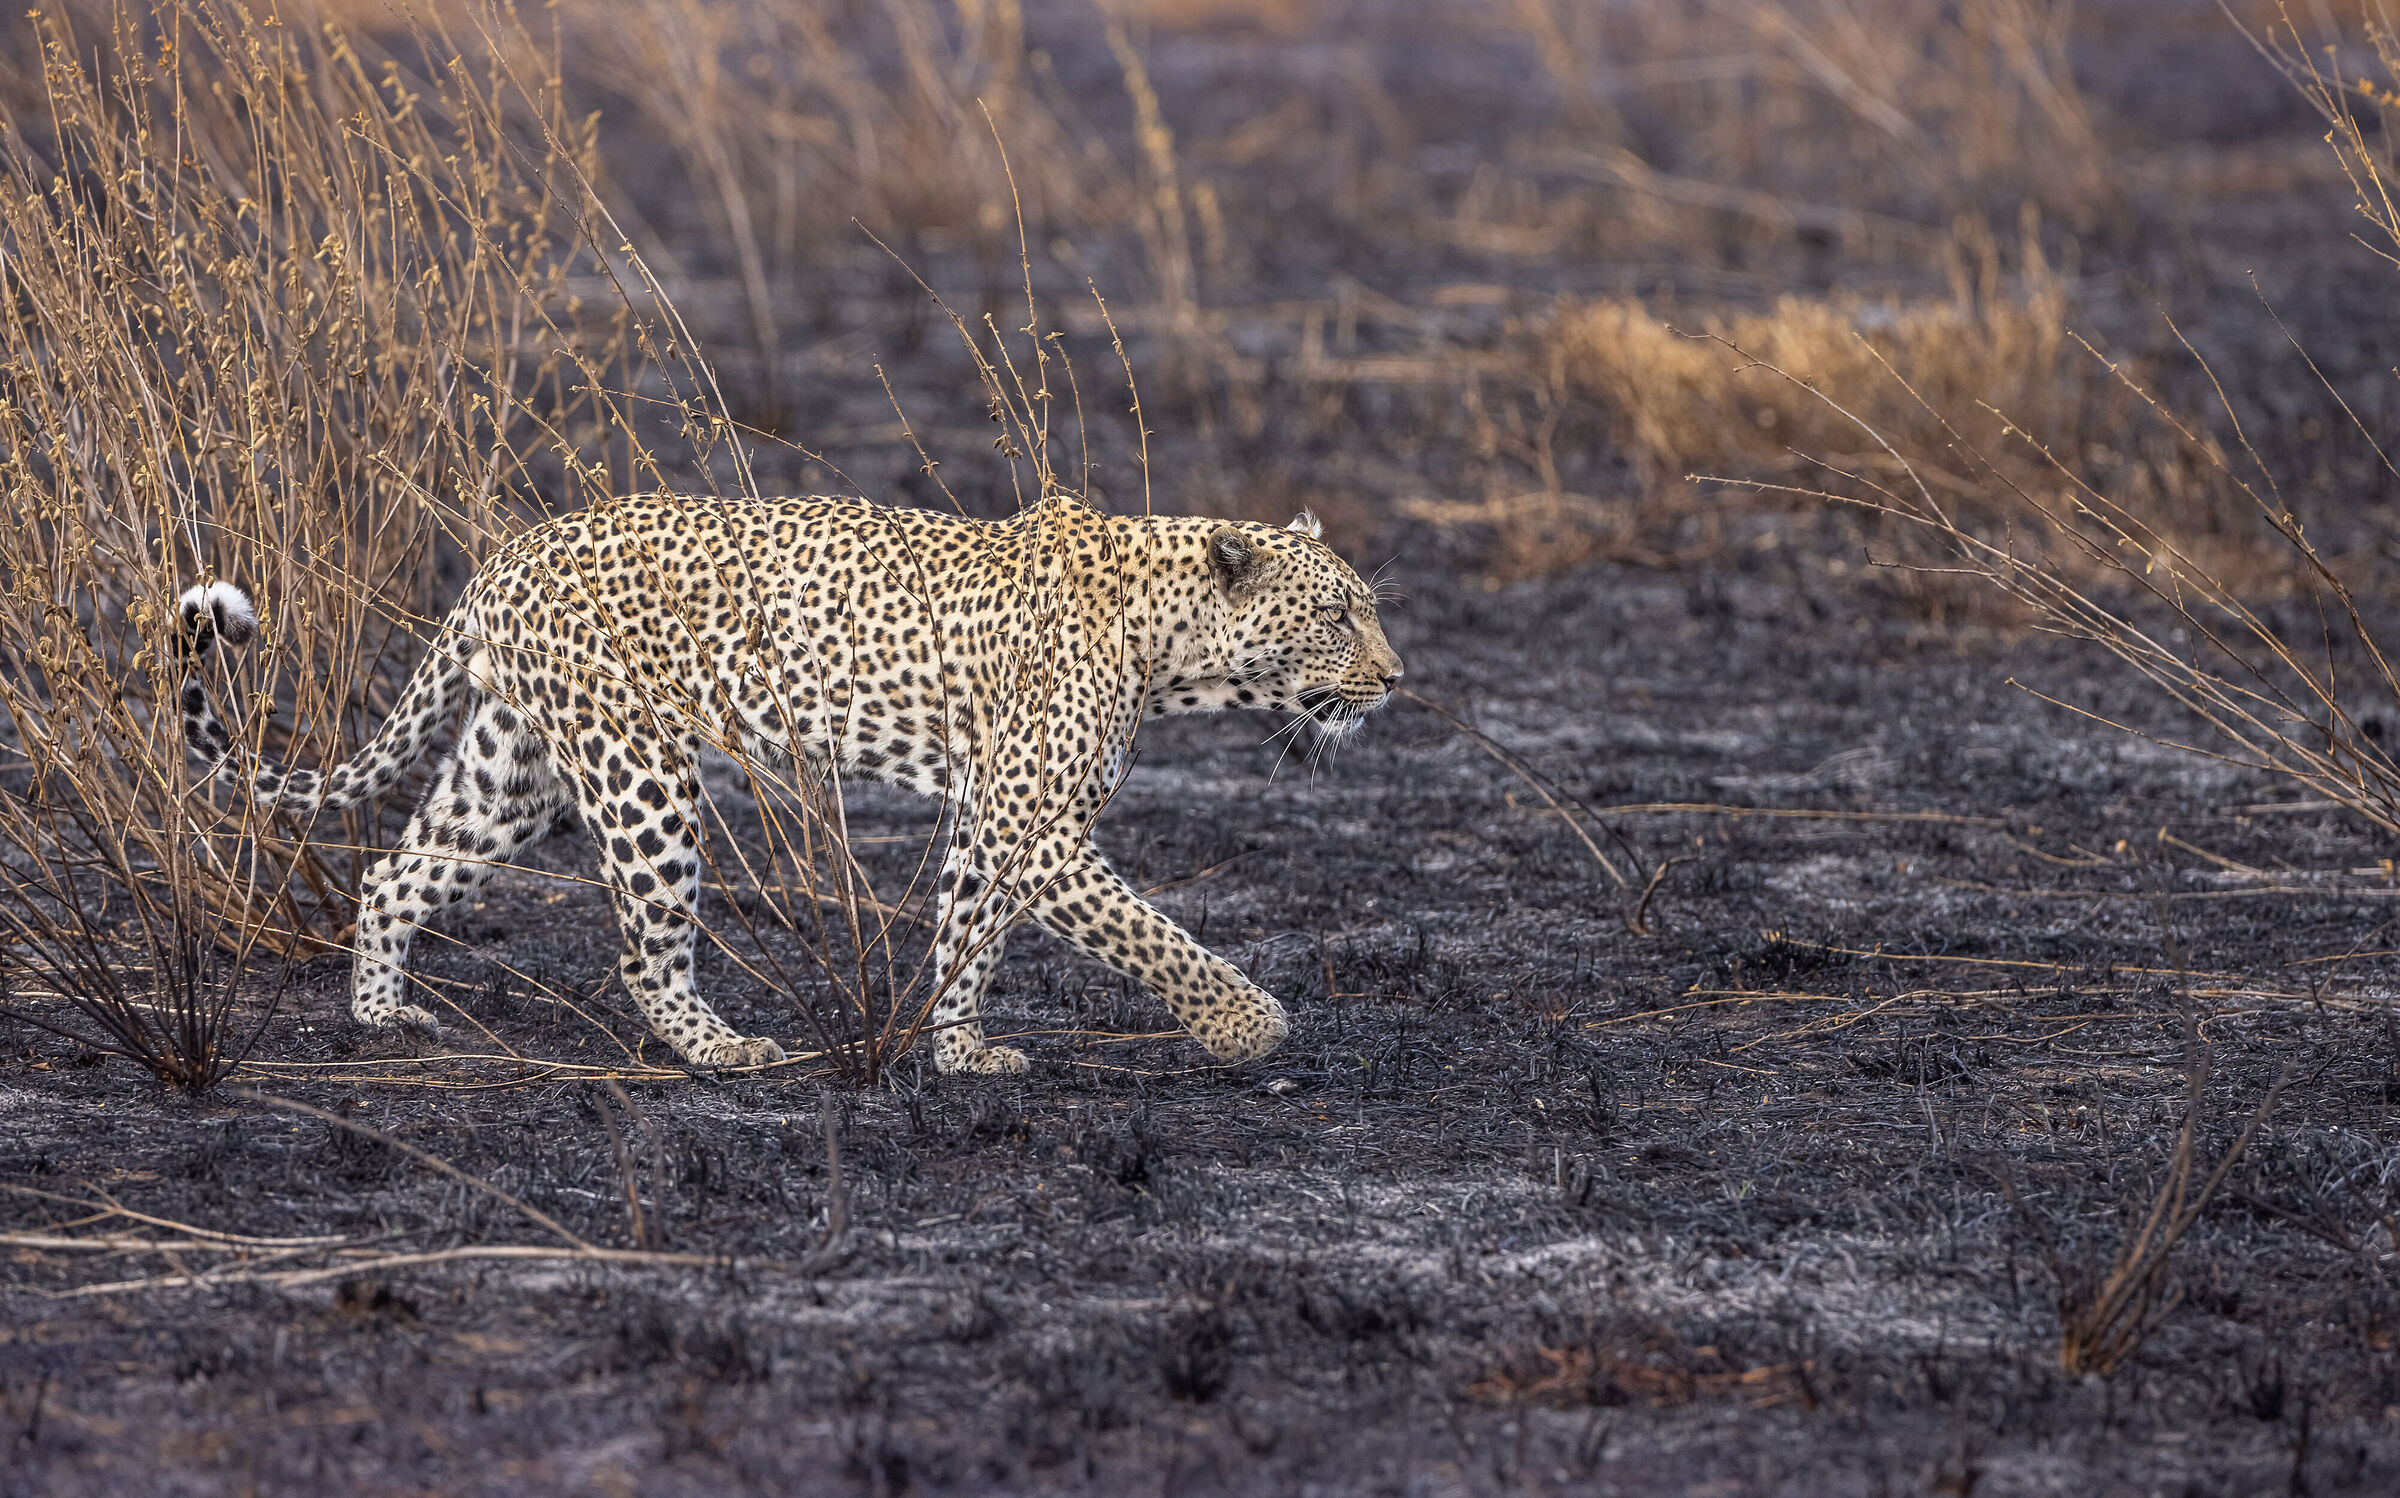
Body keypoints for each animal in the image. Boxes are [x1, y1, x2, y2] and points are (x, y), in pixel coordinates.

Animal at [175, 493, 1403, 1074]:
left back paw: (381, 1016)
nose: (1396, 677)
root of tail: (503, 557)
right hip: (641, 774)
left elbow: (970, 934)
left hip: (514, 769)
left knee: (396, 870)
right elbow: (1157, 939)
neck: (1172, 646)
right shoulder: (1035, 827)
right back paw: (723, 1050)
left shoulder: (991, 821)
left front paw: (960, 1051)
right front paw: (1249, 1027)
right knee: (643, 951)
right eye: (1339, 614)